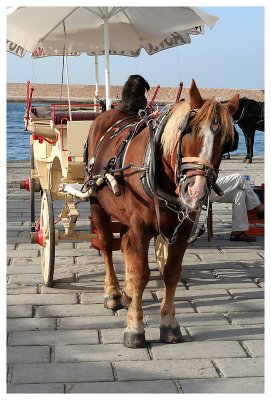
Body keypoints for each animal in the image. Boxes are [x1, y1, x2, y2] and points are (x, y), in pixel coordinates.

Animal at [85, 79, 240, 346]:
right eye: (189, 131)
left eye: (226, 142)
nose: (196, 190)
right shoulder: (140, 225)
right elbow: (141, 274)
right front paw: (135, 328)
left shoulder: (183, 227)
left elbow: (171, 273)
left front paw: (168, 323)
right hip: (97, 203)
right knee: (106, 245)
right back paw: (113, 293)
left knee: (124, 244)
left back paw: (126, 293)